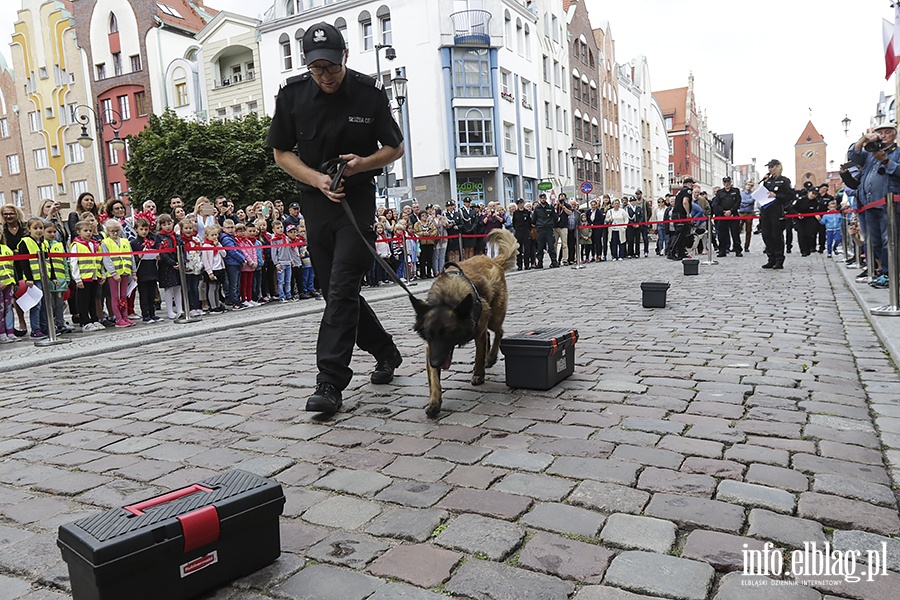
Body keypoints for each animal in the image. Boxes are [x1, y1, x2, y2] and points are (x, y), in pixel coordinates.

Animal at [412, 229, 516, 418]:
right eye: (429, 335)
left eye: (448, 335)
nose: (436, 363)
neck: (447, 300)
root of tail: (492, 260)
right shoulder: (431, 349)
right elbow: (434, 379)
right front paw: (434, 402)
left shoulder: (477, 330)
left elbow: (479, 355)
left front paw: (478, 374)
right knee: (490, 334)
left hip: (493, 317)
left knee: (499, 332)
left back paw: (491, 357)